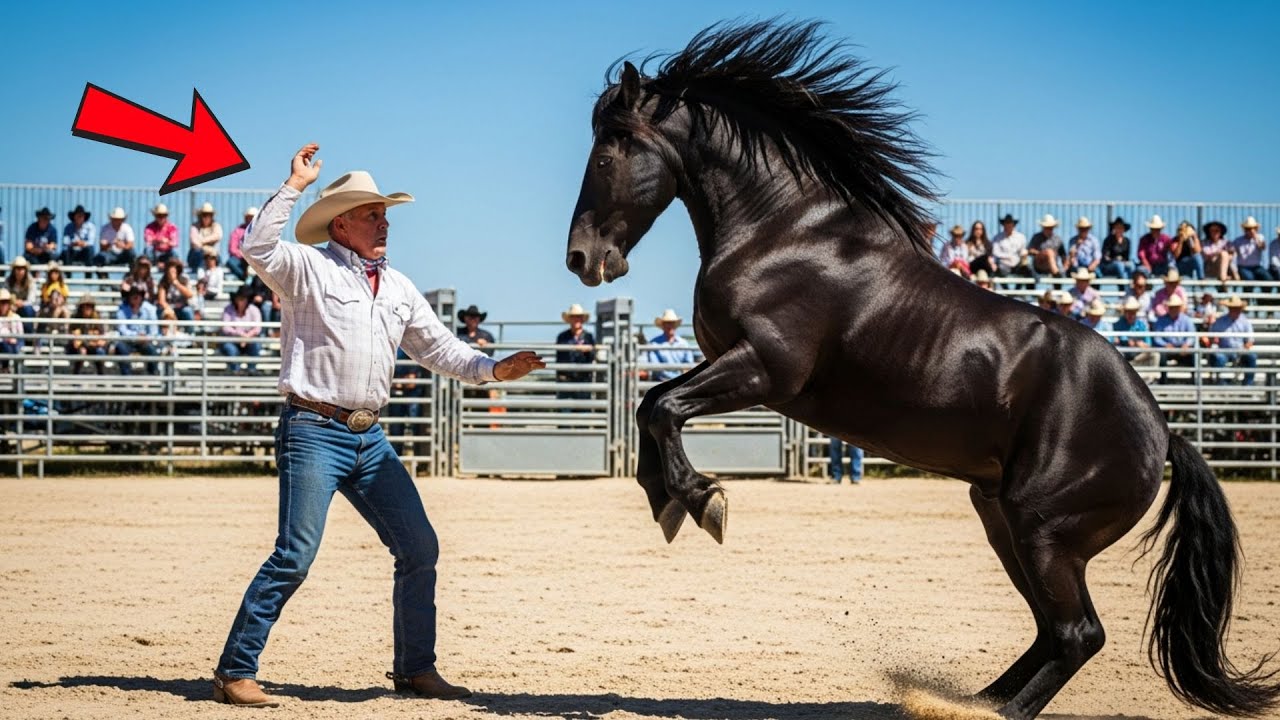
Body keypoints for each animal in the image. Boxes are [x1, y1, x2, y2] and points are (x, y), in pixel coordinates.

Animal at [563, 20, 1279, 720]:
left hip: (1044, 531)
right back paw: (973, 700)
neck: (785, 234)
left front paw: (702, 501)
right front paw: (665, 498)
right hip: (1004, 520)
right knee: (1052, 632)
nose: (581, 258)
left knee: (1078, 634)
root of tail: (1164, 431)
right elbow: (649, 403)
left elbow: (663, 407)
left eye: (605, 155)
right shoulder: (726, 362)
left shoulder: (765, 370)